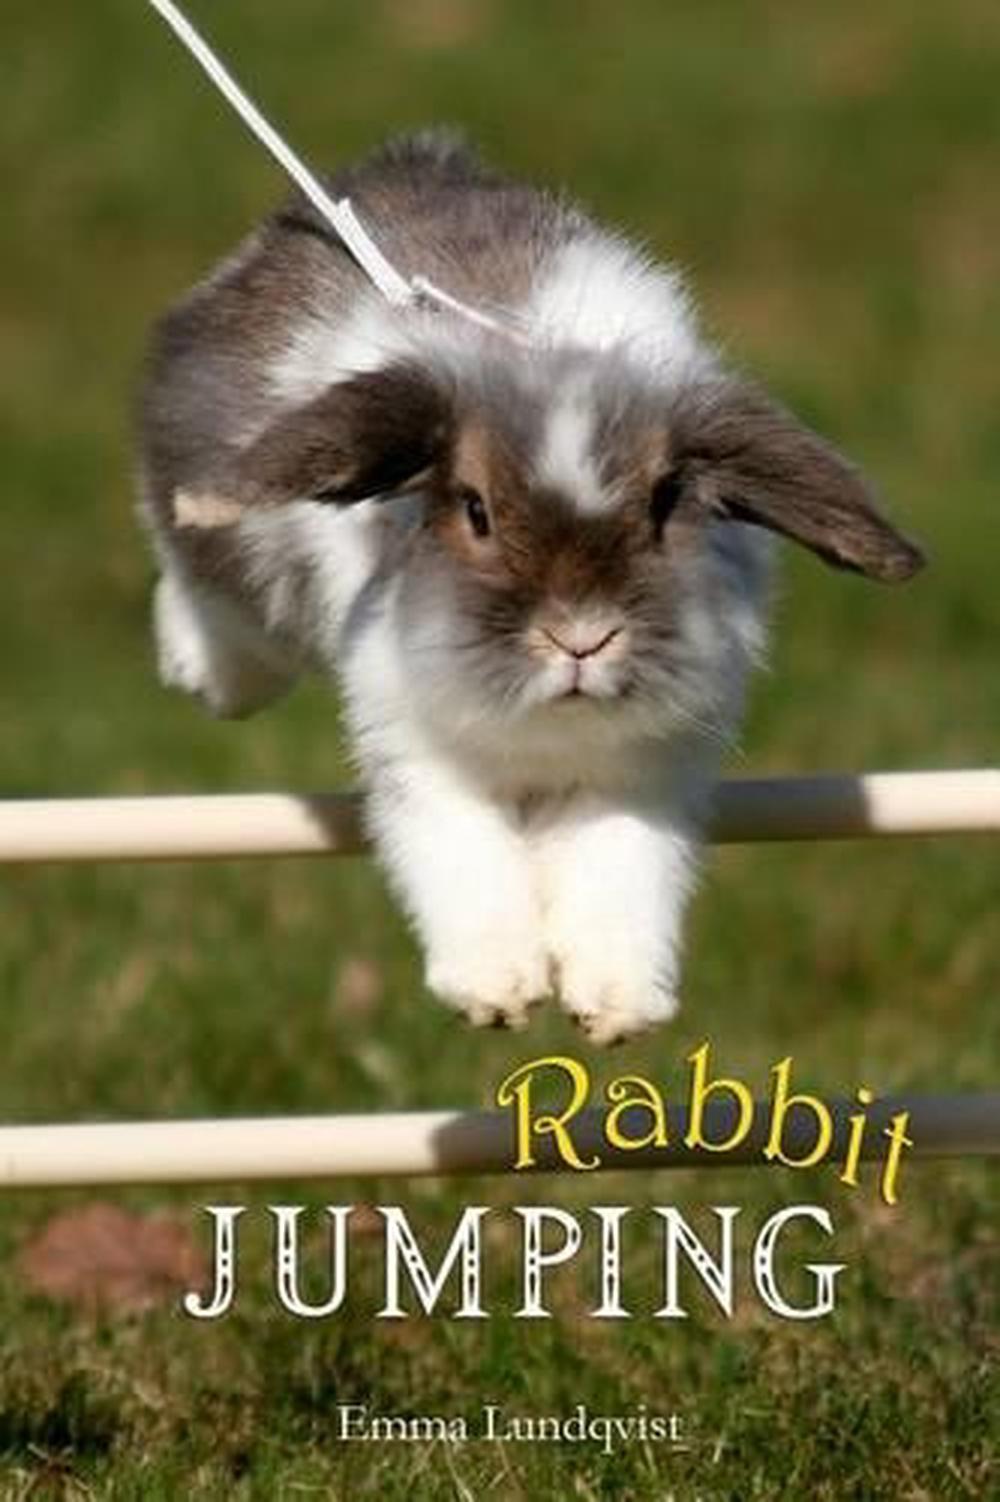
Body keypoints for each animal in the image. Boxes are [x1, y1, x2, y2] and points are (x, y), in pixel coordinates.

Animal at [138, 130, 924, 1045]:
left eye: (665, 502)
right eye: (473, 510)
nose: (579, 635)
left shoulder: (639, 781)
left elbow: (621, 879)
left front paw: (615, 1007)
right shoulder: (424, 761)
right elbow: (465, 864)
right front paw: (498, 991)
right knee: (209, 594)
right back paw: (199, 668)